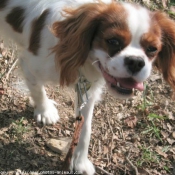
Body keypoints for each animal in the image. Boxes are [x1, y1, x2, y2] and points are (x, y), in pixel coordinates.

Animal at [0, 0, 175, 174]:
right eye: (113, 41)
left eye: (152, 49)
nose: (136, 62)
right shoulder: (29, 64)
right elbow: (37, 90)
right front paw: (45, 111)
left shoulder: (86, 90)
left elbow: (85, 129)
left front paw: (79, 162)